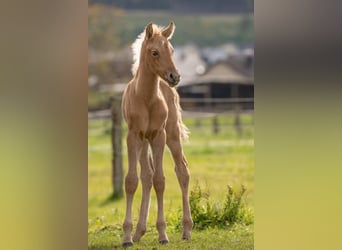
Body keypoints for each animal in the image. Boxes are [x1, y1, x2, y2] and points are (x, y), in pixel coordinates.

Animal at [121, 21, 192, 246]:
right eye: (154, 52)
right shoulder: (134, 136)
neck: (146, 98)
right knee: (146, 176)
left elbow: (160, 181)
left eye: (172, 50)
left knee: (182, 171)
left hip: (172, 135)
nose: (174, 77)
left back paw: (187, 230)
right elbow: (132, 181)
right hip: (144, 142)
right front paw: (127, 236)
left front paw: (162, 234)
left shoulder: (159, 135)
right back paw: (138, 232)